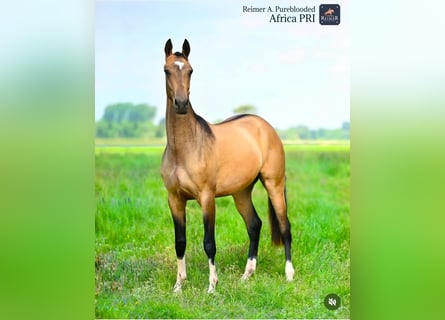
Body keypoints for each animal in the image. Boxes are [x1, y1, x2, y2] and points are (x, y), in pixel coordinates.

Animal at [160, 38, 294, 294]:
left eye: (191, 70)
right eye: (166, 70)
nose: (181, 104)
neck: (185, 148)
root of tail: (265, 126)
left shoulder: (206, 198)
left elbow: (209, 243)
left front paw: (212, 286)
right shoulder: (174, 199)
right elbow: (180, 242)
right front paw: (178, 286)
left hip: (273, 184)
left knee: (284, 227)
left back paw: (289, 274)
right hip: (241, 192)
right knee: (254, 225)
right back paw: (247, 274)